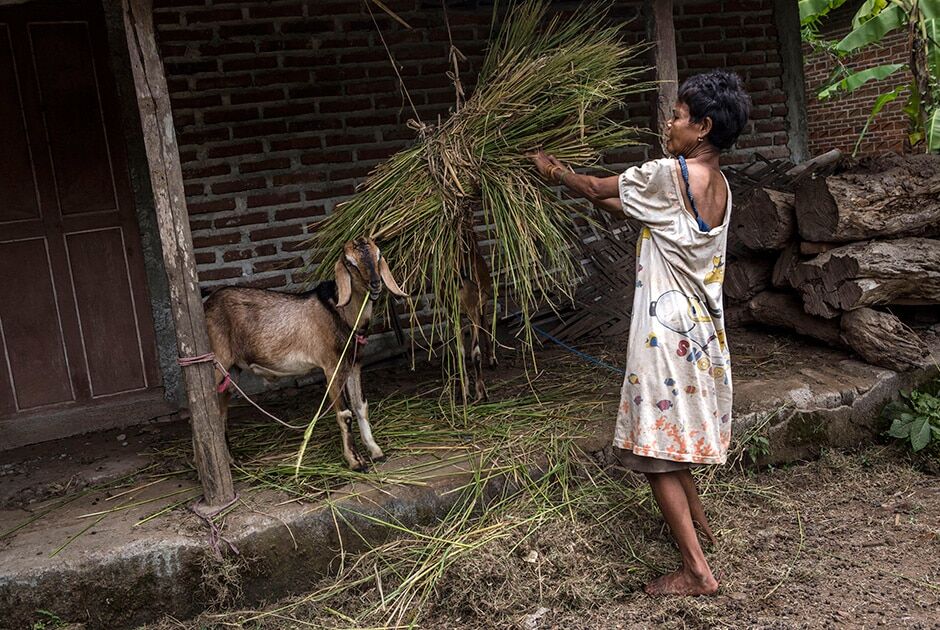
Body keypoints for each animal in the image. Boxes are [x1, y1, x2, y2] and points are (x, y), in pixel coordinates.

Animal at [206, 239, 408, 472]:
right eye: (350, 263)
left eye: (379, 255)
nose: (375, 284)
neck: (341, 315)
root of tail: (207, 305)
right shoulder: (331, 366)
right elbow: (345, 414)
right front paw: (356, 462)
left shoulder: (354, 364)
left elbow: (360, 406)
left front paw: (376, 451)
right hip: (217, 361)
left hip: (232, 369)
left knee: (221, 412)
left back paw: (231, 461)